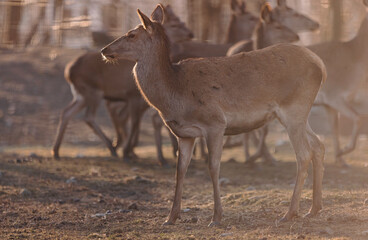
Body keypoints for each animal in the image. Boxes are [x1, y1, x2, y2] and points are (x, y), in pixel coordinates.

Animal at [53, 4, 194, 165]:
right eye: (175, 23)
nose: (191, 34)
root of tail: (68, 71)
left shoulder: (138, 100)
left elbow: (135, 121)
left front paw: (131, 149)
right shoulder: (132, 96)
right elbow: (133, 122)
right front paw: (128, 150)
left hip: (81, 95)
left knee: (67, 112)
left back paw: (57, 151)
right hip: (92, 91)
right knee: (88, 116)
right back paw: (111, 147)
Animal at [100, 3, 324, 226]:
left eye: (131, 34)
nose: (104, 50)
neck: (175, 94)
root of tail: (321, 65)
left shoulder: (215, 123)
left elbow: (213, 167)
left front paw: (216, 217)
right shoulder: (184, 134)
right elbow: (180, 170)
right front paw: (171, 217)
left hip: (294, 108)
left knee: (304, 154)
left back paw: (290, 212)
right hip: (299, 113)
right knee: (318, 145)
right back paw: (313, 209)